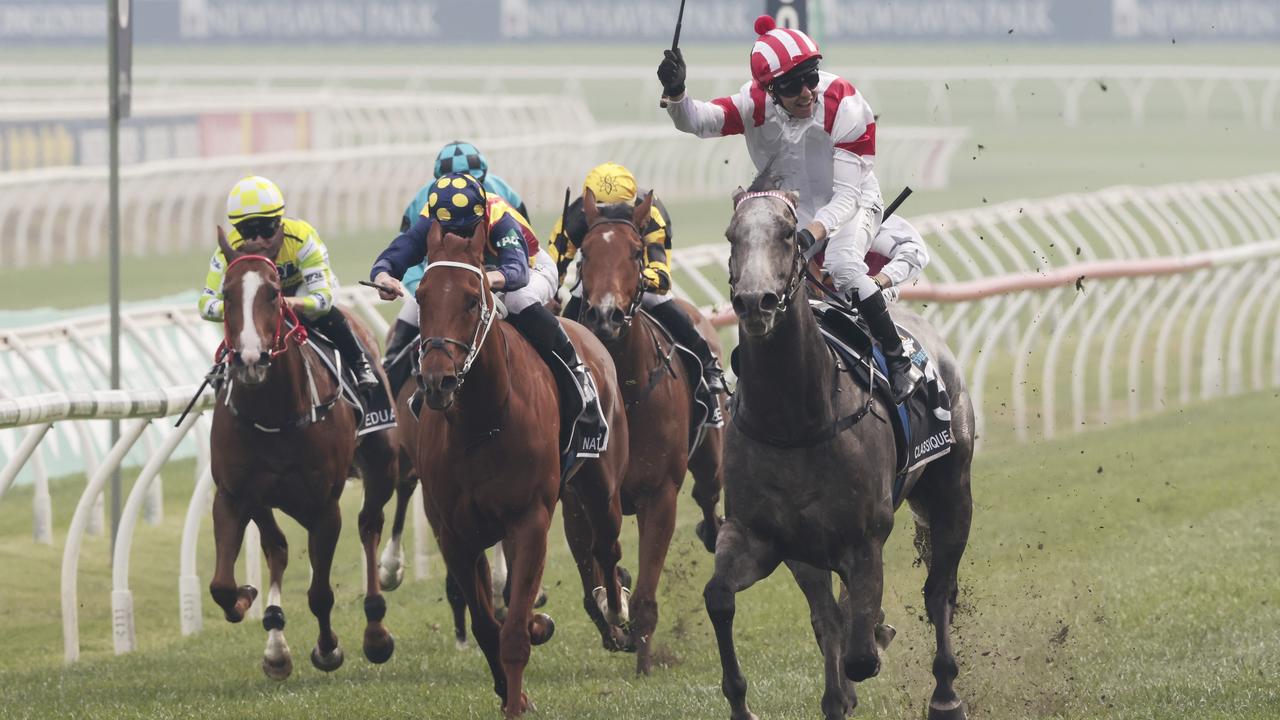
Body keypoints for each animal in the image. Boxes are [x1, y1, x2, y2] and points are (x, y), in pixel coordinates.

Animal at [209, 226, 399, 676]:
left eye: (274, 293)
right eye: (226, 293)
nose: (250, 358)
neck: (275, 414)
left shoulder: (324, 504)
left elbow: (320, 593)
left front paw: (329, 648)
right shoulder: (233, 495)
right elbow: (222, 584)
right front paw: (245, 599)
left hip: (383, 465)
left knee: (369, 525)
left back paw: (376, 628)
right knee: (277, 547)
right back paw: (275, 643)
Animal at [412, 221, 627, 712]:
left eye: (471, 299)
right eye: (421, 296)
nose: (437, 381)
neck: (481, 422)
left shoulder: (529, 520)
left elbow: (512, 636)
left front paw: (514, 700)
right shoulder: (454, 535)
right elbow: (487, 625)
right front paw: (513, 686)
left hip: (601, 484)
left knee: (607, 546)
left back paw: (617, 612)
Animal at [576, 185, 727, 671]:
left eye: (636, 251)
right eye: (585, 252)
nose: (605, 316)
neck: (625, 390)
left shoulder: (659, 494)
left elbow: (644, 595)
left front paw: (643, 663)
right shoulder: (576, 498)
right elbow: (595, 580)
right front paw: (614, 624)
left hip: (710, 455)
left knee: (707, 495)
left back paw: (713, 532)